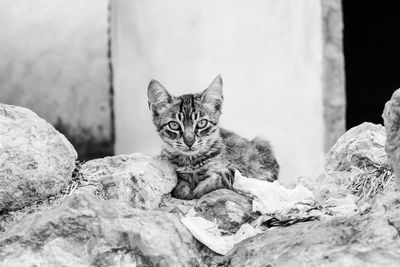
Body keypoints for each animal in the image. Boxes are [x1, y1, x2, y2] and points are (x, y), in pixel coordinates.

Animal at [147, 75, 278, 201]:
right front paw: (184, 190)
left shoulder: (242, 172)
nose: (189, 142)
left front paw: (197, 191)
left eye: (202, 123)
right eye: (174, 125)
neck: (192, 162)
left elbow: (217, 180)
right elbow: (180, 183)